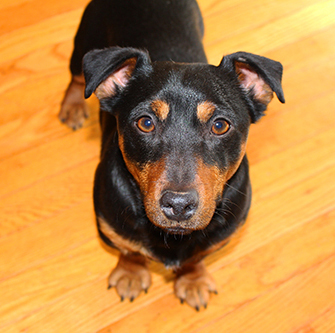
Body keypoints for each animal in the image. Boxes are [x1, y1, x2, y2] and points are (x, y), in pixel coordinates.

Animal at [59, 0, 284, 308]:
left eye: (220, 125)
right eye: (145, 122)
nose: (178, 205)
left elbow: (196, 256)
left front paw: (193, 280)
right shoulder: (110, 225)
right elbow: (130, 250)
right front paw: (131, 274)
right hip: (84, 42)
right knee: (77, 77)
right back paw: (72, 106)